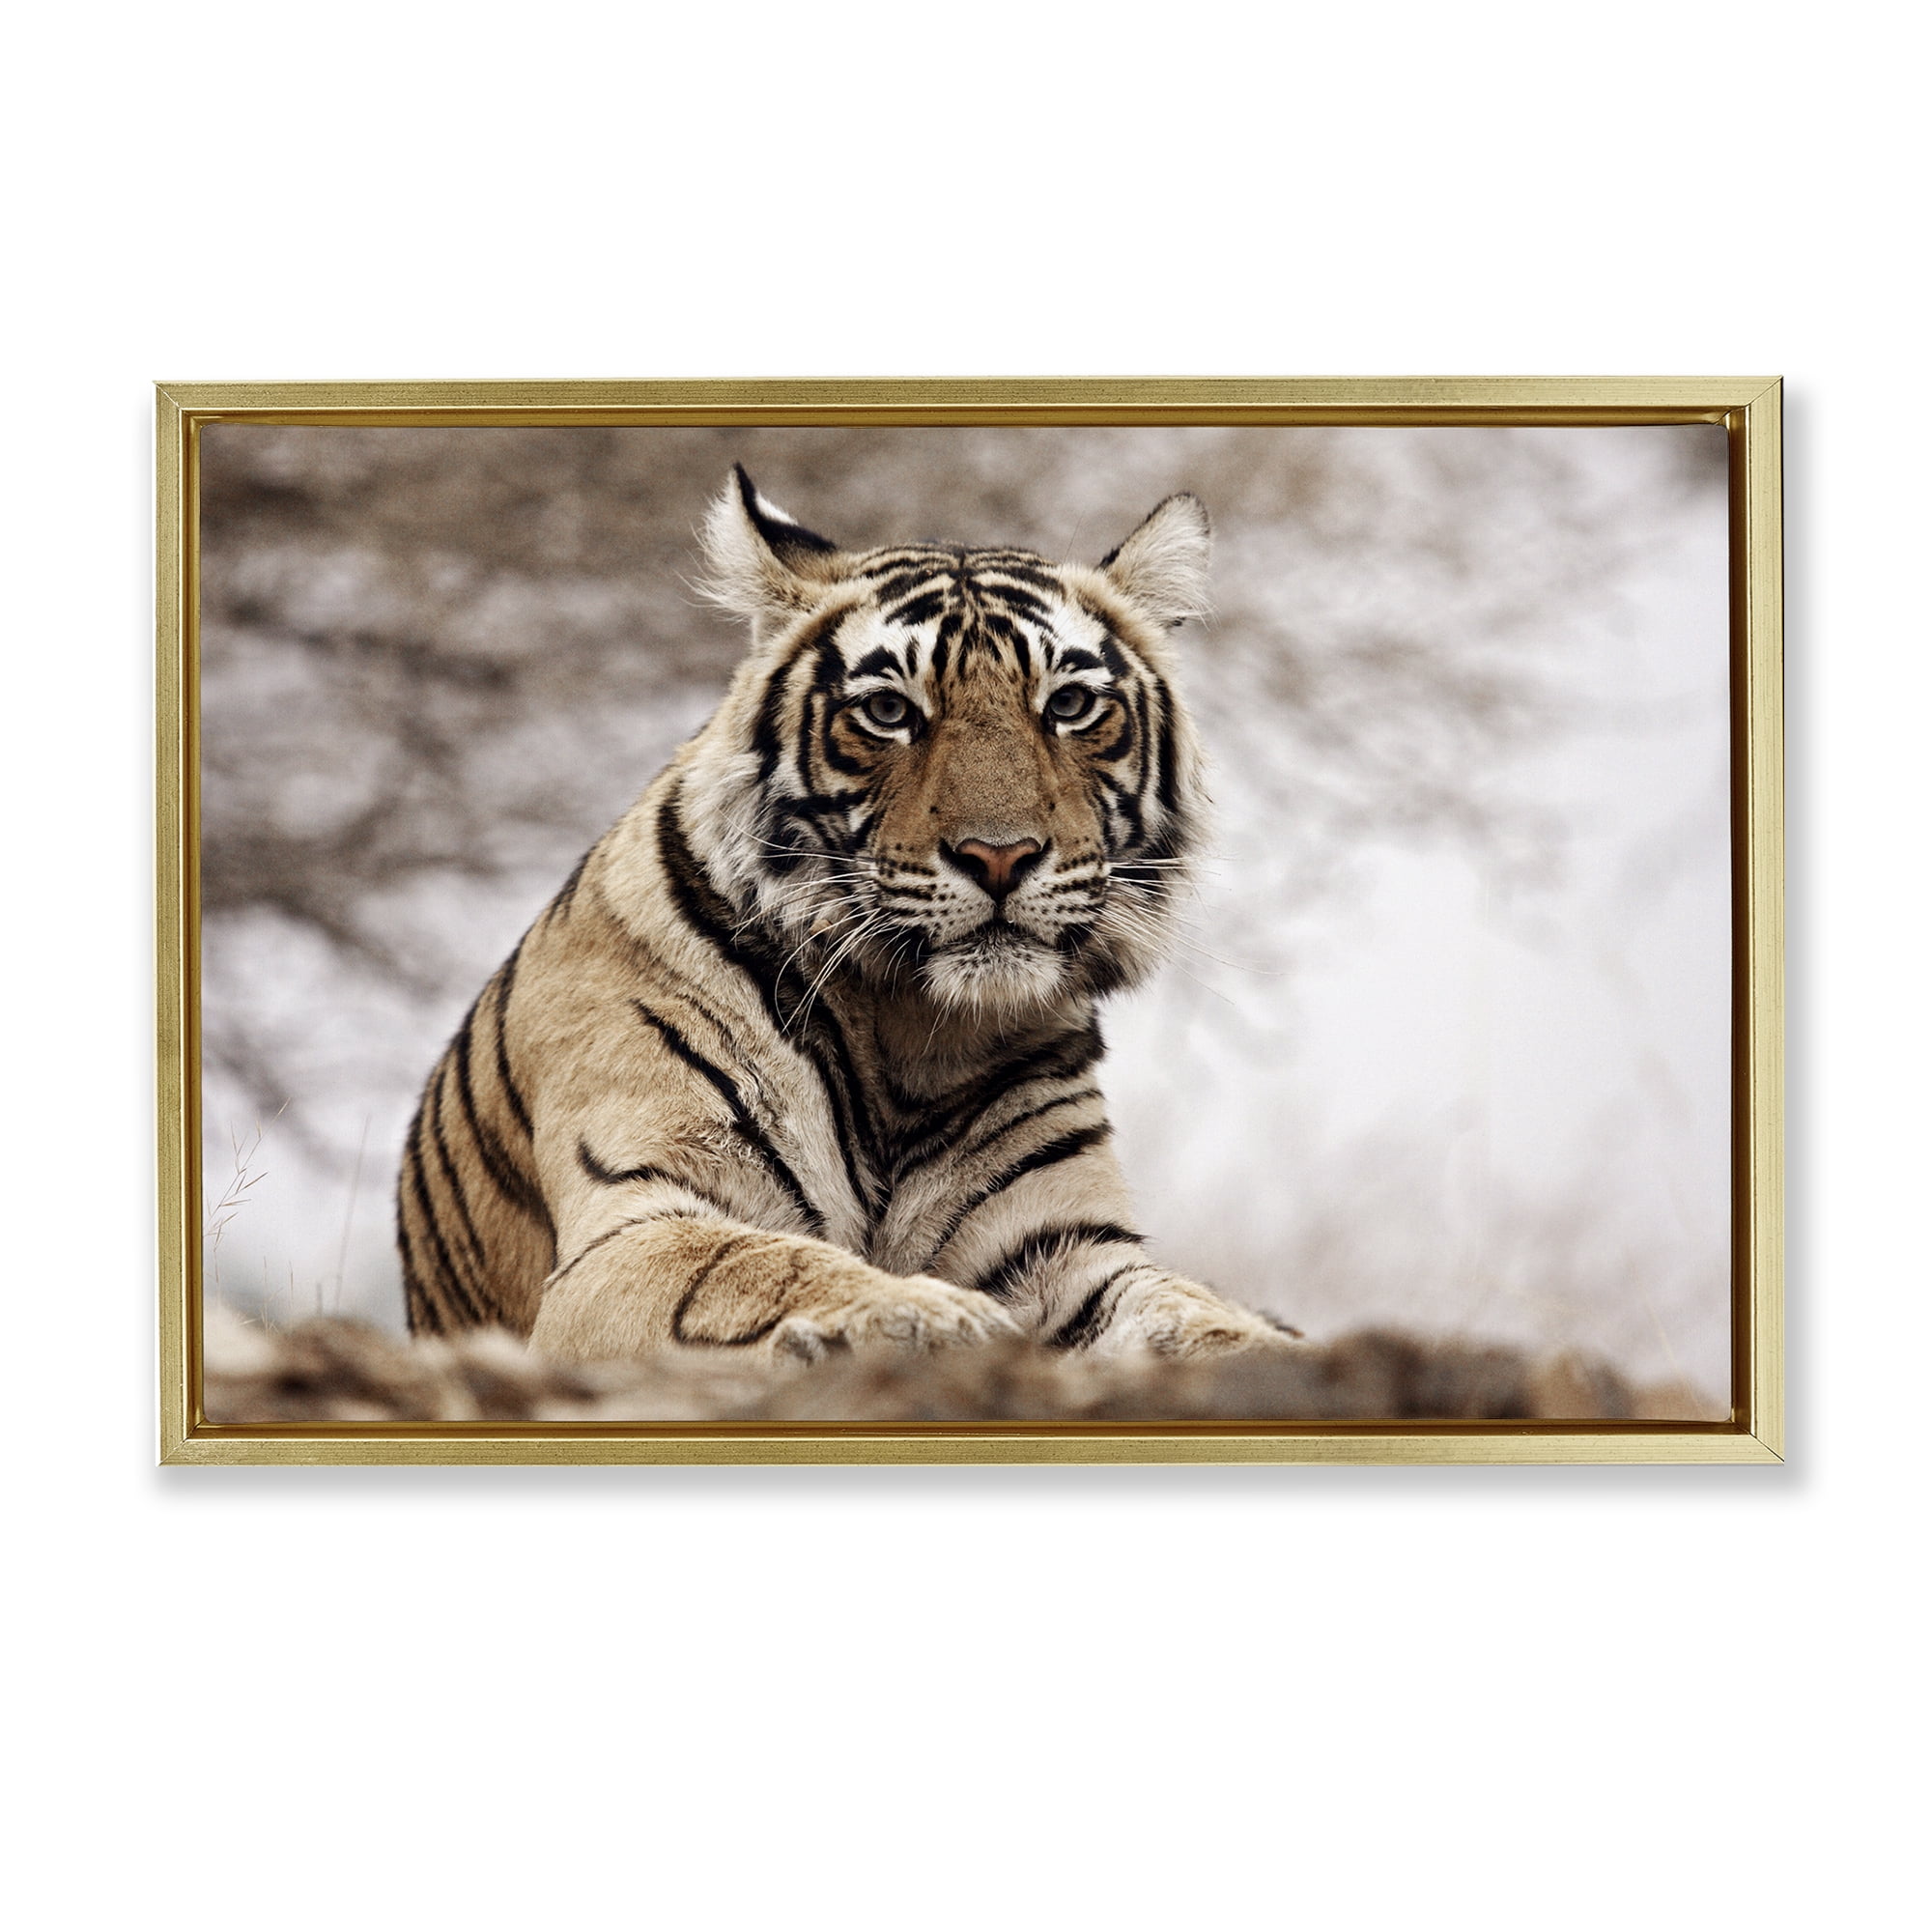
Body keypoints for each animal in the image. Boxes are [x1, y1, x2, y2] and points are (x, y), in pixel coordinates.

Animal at [396, 465, 1295, 1365]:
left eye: (1069, 705)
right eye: (890, 713)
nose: (999, 856)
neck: (914, 1035)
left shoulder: (1064, 1244)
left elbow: (1186, 1310)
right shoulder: (632, 1225)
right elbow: (763, 1266)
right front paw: (935, 1316)